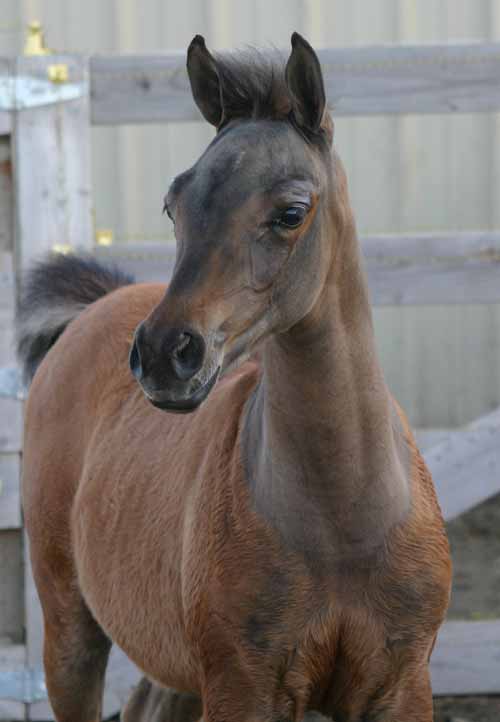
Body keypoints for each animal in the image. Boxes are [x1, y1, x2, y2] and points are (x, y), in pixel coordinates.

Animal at [19, 33, 452, 720]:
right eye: (173, 204)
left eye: (292, 213)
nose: (165, 353)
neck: (344, 525)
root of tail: (98, 303)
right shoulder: (242, 685)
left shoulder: (401, 686)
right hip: (69, 632)